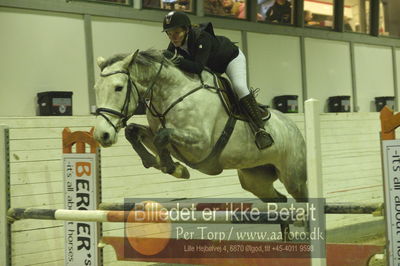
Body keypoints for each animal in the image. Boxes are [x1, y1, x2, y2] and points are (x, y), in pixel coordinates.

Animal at [93, 48, 306, 203]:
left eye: (118, 88)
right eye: (96, 88)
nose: (101, 135)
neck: (172, 93)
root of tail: (294, 127)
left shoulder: (201, 144)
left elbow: (162, 135)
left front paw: (174, 168)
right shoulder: (161, 133)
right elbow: (135, 132)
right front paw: (159, 163)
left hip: (294, 179)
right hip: (255, 179)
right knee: (280, 200)